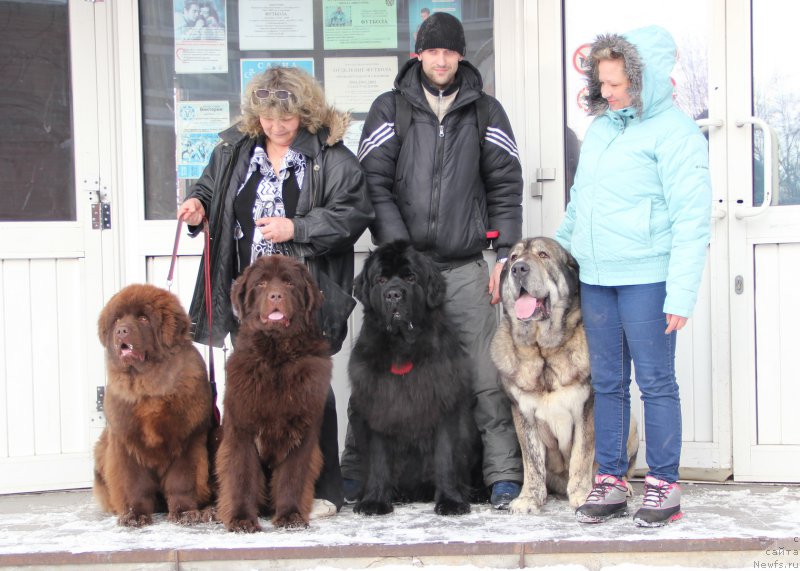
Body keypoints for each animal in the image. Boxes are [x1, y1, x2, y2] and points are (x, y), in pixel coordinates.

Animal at [94, 284, 212, 528]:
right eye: (117, 319)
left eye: (143, 318)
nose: (121, 331)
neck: (148, 387)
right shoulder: (127, 443)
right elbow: (134, 484)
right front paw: (134, 515)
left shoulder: (188, 440)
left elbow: (181, 481)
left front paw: (185, 513)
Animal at [212, 255, 332, 532]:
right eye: (261, 283)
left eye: (289, 283)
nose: (275, 295)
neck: (276, 357)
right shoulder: (241, 428)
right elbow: (242, 475)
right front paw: (241, 519)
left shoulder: (303, 429)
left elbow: (292, 475)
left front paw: (290, 516)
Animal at [346, 241, 478, 520]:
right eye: (381, 280)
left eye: (410, 278)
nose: (393, 295)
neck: (402, 348)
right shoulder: (378, 408)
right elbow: (379, 459)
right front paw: (374, 501)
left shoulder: (445, 406)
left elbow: (445, 457)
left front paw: (451, 501)